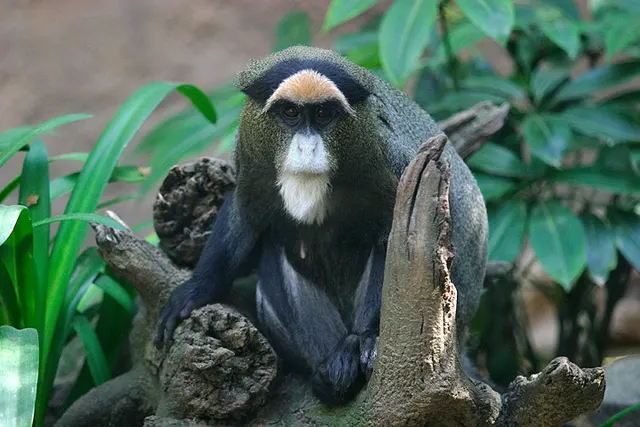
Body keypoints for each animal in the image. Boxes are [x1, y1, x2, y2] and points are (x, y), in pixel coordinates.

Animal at [154, 46, 488, 405]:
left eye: (324, 115)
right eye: (290, 113)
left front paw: (372, 339)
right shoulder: (249, 152)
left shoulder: (394, 161)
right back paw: (331, 368)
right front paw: (194, 291)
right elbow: (244, 214)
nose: (307, 147)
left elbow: (399, 246)